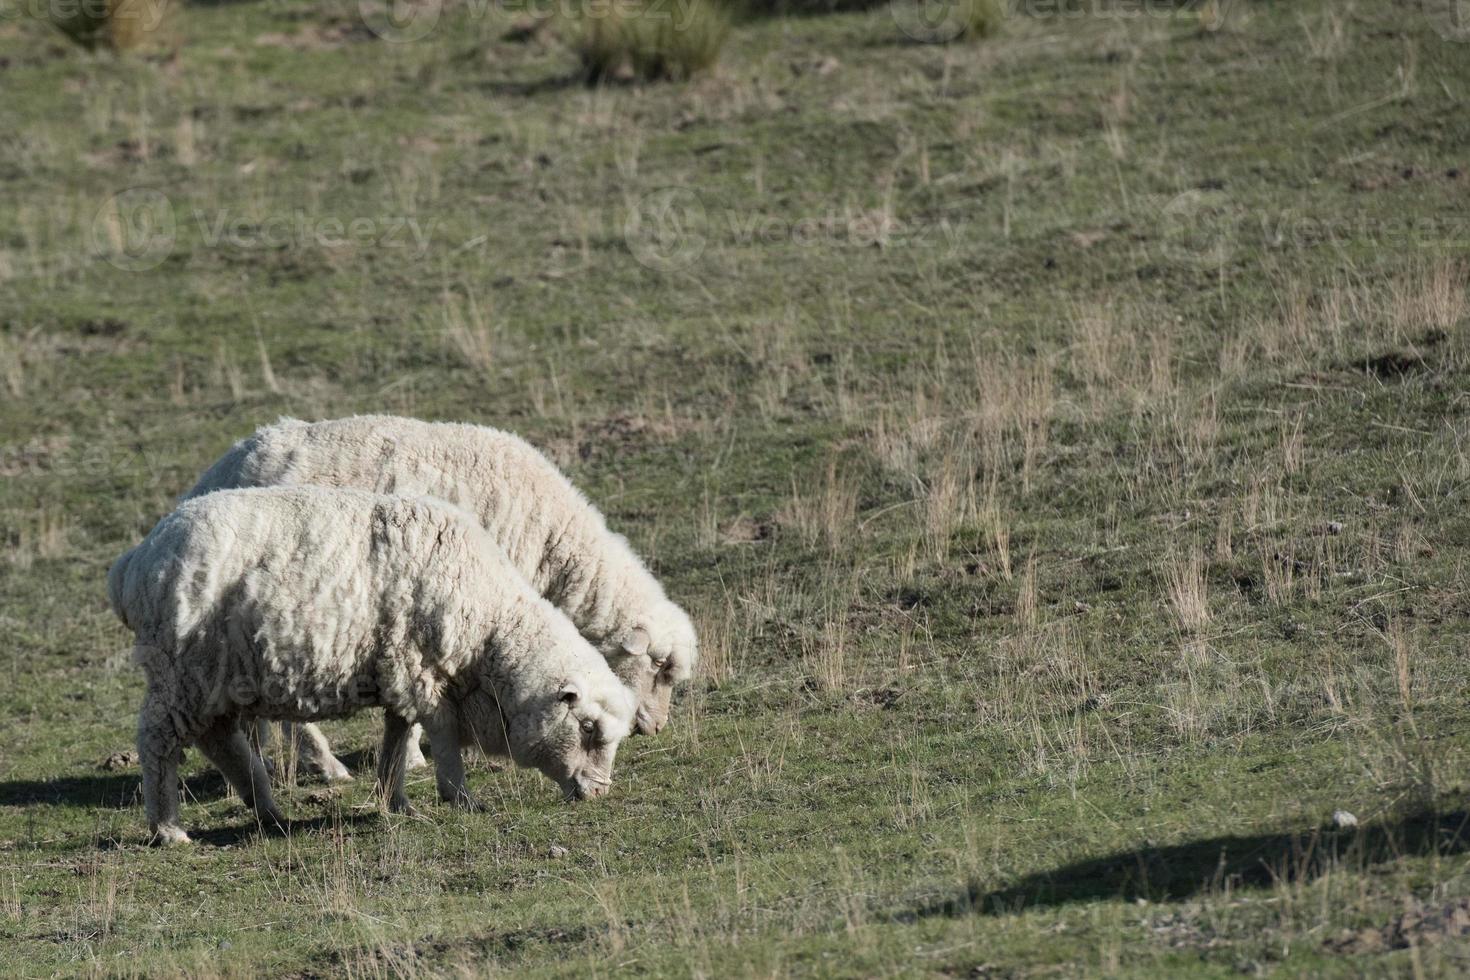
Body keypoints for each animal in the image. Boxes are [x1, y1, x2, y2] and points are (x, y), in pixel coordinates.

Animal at [103, 487, 632, 846]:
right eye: (587, 728)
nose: (599, 793)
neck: (489, 627)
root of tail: (133, 562)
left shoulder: (401, 670)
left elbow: (397, 737)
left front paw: (395, 800)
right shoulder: (422, 671)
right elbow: (440, 736)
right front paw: (459, 797)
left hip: (216, 679)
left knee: (220, 741)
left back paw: (268, 811)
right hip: (180, 673)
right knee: (158, 742)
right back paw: (169, 828)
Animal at [186, 414, 702, 775]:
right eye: (660, 668)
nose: (654, 727)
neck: (557, 543)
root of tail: (209, 478)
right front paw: (418, 756)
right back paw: (326, 766)